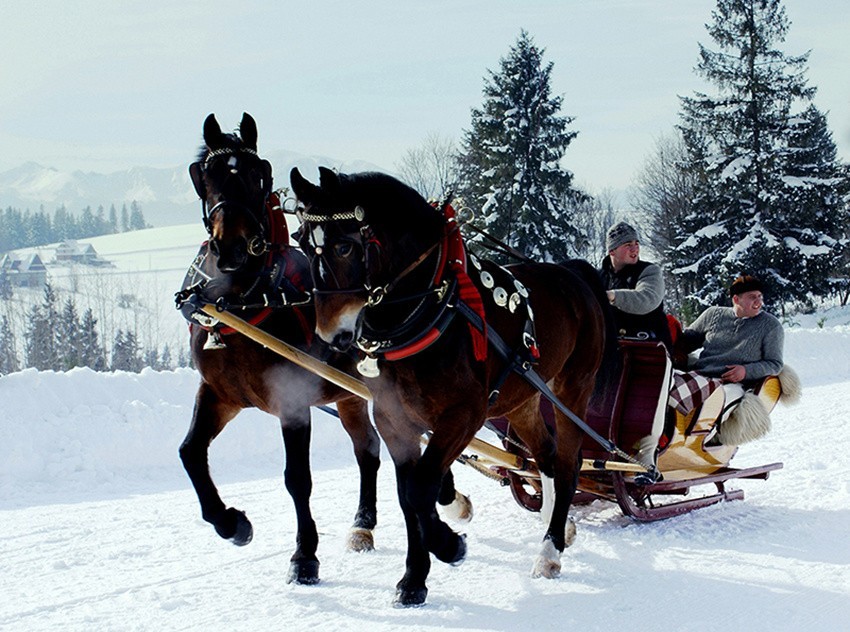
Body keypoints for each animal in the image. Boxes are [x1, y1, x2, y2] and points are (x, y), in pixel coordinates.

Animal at [176, 112, 380, 584]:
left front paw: (304, 556)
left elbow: (297, 478)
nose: (230, 247)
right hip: (349, 396)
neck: (240, 305)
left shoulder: (293, 401)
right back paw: (364, 523)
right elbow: (190, 453)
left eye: (257, 174)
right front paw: (232, 524)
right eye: (205, 176)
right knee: (368, 451)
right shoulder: (220, 394)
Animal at [288, 165, 612, 604]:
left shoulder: (465, 413)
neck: (431, 309)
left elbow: (421, 486)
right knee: (543, 455)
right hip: (523, 398)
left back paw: (550, 550)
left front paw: (448, 543)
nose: (331, 335)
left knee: (566, 464)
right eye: (302, 242)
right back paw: (559, 525)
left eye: (343, 246)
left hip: (572, 389)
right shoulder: (393, 419)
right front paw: (414, 578)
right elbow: (408, 494)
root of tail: (571, 274)